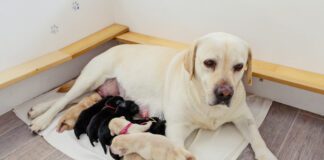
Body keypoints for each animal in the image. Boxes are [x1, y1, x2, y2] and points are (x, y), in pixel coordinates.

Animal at [27, 32, 278, 159]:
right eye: (209, 63)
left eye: (239, 66)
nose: (225, 93)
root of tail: (112, 47)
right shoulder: (176, 130)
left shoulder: (244, 117)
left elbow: (257, 138)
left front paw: (266, 155)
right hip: (91, 77)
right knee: (63, 100)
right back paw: (41, 118)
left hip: (96, 92)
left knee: (71, 100)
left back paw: (38, 109)